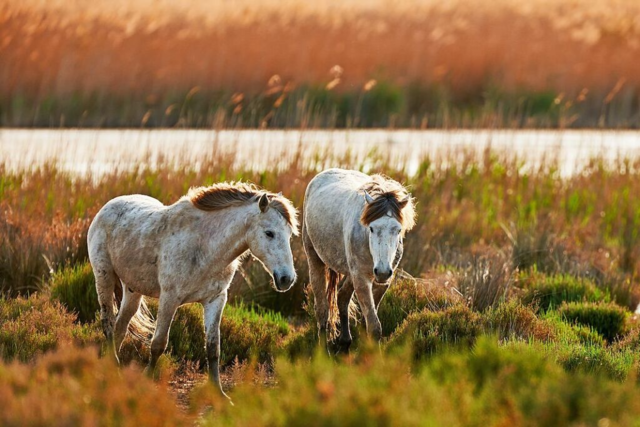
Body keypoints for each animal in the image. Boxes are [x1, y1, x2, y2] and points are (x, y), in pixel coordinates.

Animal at [87, 182, 298, 400]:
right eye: (269, 233)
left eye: (289, 235)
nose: (287, 279)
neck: (204, 245)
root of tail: (108, 207)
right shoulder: (169, 298)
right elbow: (158, 344)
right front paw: (146, 383)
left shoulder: (215, 300)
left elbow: (213, 348)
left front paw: (219, 394)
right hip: (104, 277)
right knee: (108, 324)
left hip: (133, 290)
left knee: (120, 327)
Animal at [304, 168, 418, 352]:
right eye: (371, 228)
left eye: (398, 230)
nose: (382, 271)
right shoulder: (362, 279)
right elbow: (374, 326)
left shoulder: (381, 283)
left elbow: (369, 322)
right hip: (315, 260)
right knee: (322, 309)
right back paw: (323, 352)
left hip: (352, 273)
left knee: (342, 298)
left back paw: (345, 341)